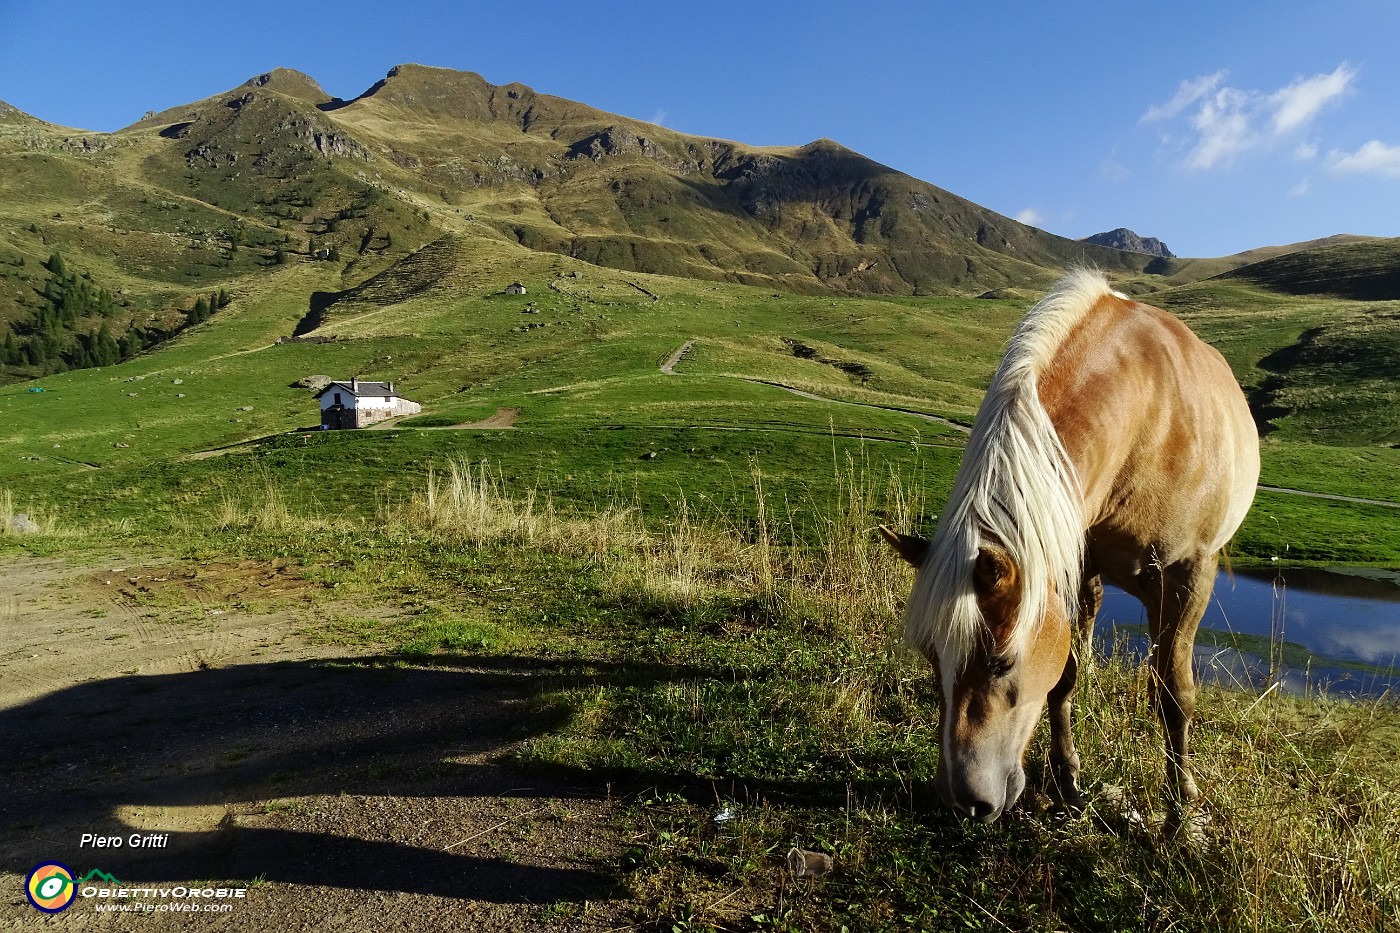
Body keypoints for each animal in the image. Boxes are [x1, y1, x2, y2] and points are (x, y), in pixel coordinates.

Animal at [884, 267, 1260, 829]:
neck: (1150, 421)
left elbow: (1175, 694)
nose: (964, 802)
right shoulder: (1072, 567)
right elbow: (1064, 677)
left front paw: (1179, 811)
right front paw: (1067, 783)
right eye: (932, 655)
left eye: (1000, 663)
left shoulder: (1190, 574)